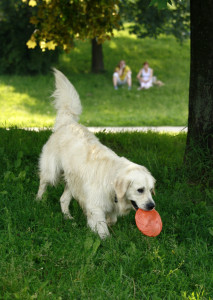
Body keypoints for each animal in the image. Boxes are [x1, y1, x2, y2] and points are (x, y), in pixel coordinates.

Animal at [36, 68, 156, 239]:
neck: (112, 181)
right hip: (52, 171)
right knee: (43, 182)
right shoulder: (95, 206)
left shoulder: (108, 206)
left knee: (63, 199)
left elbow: (111, 219)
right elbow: (102, 228)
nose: (152, 206)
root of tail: (68, 122)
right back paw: (38, 201)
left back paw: (68, 218)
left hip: (73, 182)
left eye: (151, 189)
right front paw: (106, 240)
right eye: (140, 190)